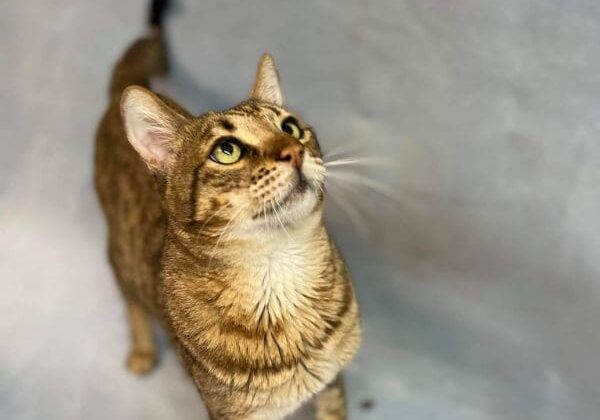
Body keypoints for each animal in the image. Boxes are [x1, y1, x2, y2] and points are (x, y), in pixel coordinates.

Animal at [95, 1, 360, 418]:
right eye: (227, 150)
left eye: (290, 127)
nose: (294, 150)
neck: (278, 266)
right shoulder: (234, 411)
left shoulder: (332, 382)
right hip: (121, 253)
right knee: (131, 299)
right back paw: (142, 350)